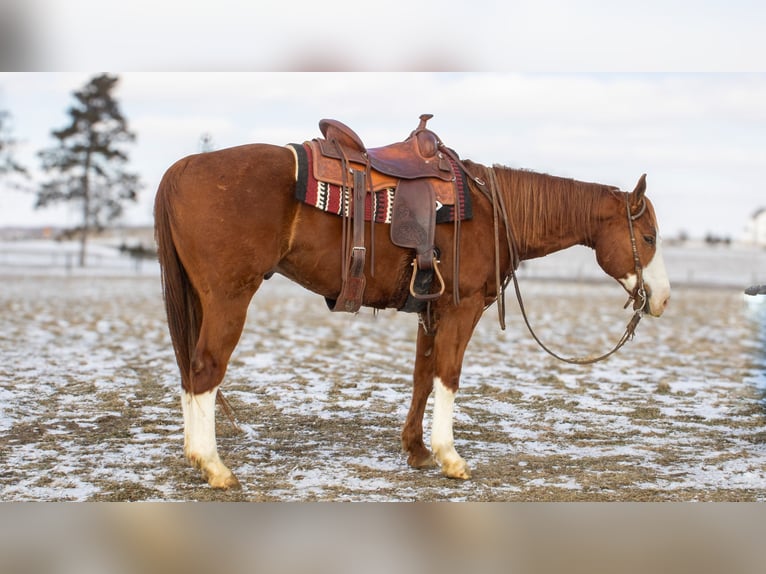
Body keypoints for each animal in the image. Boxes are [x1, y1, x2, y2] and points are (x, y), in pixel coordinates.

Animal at [154, 135, 672, 490]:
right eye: (648, 237)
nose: (663, 299)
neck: (490, 210)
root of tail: (183, 167)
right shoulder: (462, 307)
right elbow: (448, 374)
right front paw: (450, 457)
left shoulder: (431, 309)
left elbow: (423, 376)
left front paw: (418, 450)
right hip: (228, 298)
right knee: (205, 370)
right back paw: (214, 466)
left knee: (190, 371)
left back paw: (197, 458)